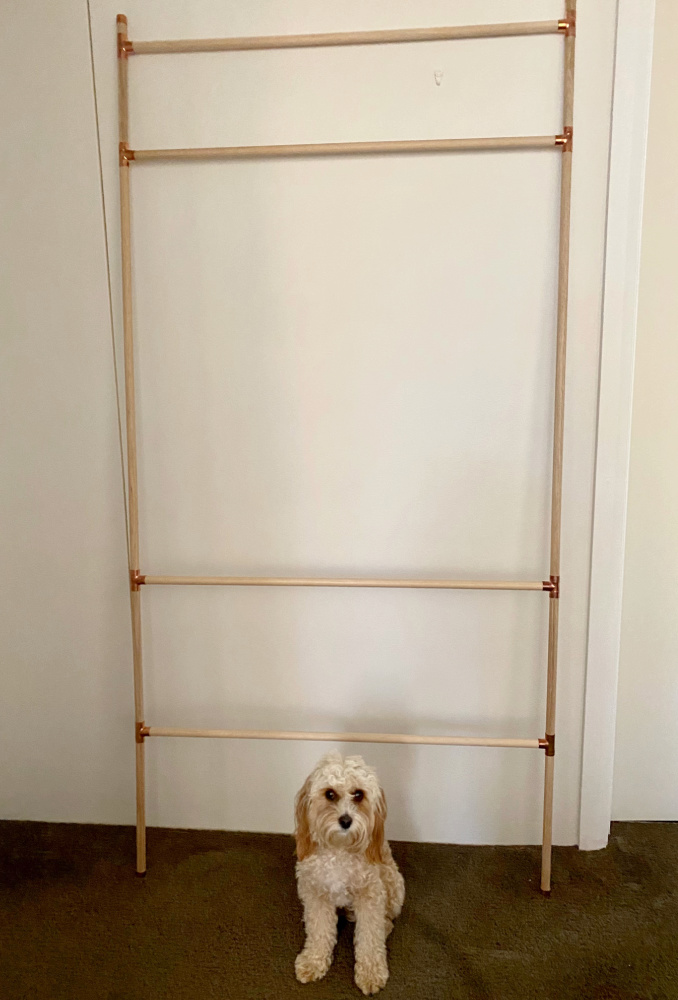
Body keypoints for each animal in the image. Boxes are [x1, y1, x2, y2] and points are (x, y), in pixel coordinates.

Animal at [296, 752, 404, 992]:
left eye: (358, 794)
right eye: (330, 794)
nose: (345, 820)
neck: (340, 849)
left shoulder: (371, 894)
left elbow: (370, 937)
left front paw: (371, 972)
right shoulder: (315, 893)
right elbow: (319, 931)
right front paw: (313, 962)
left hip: (393, 883)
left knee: (387, 918)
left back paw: (384, 925)